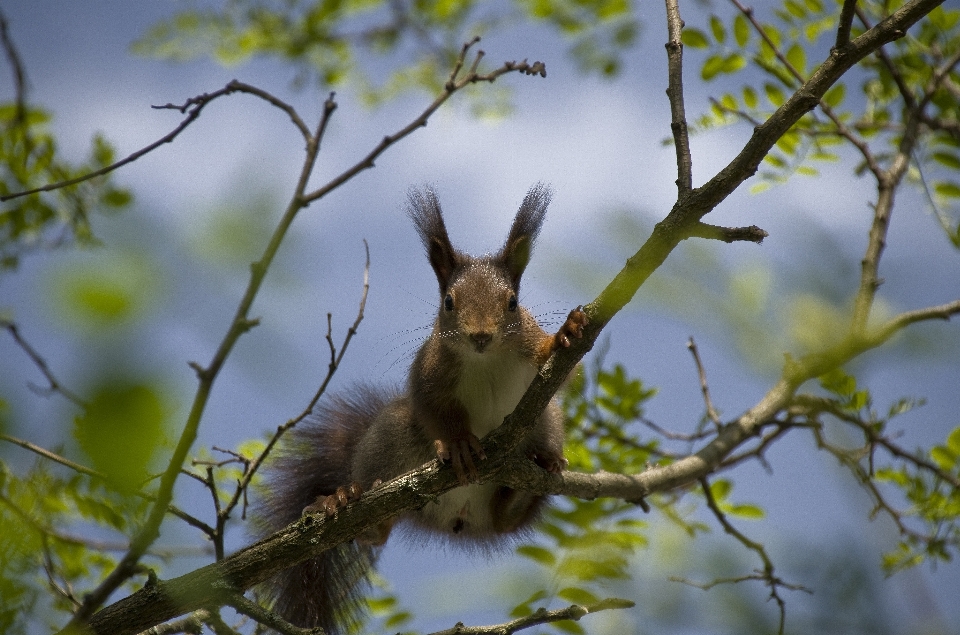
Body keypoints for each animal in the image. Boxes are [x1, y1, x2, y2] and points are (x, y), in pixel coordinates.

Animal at [255, 185, 584, 635]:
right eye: (448, 302)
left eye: (513, 303)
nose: (480, 336)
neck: (484, 359)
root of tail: (459, 518)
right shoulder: (429, 371)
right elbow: (433, 410)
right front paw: (458, 443)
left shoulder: (529, 347)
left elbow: (556, 368)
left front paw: (567, 333)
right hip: (390, 438)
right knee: (376, 529)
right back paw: (341, 500)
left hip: (545, 422)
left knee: (508, 519)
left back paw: (539, 469)